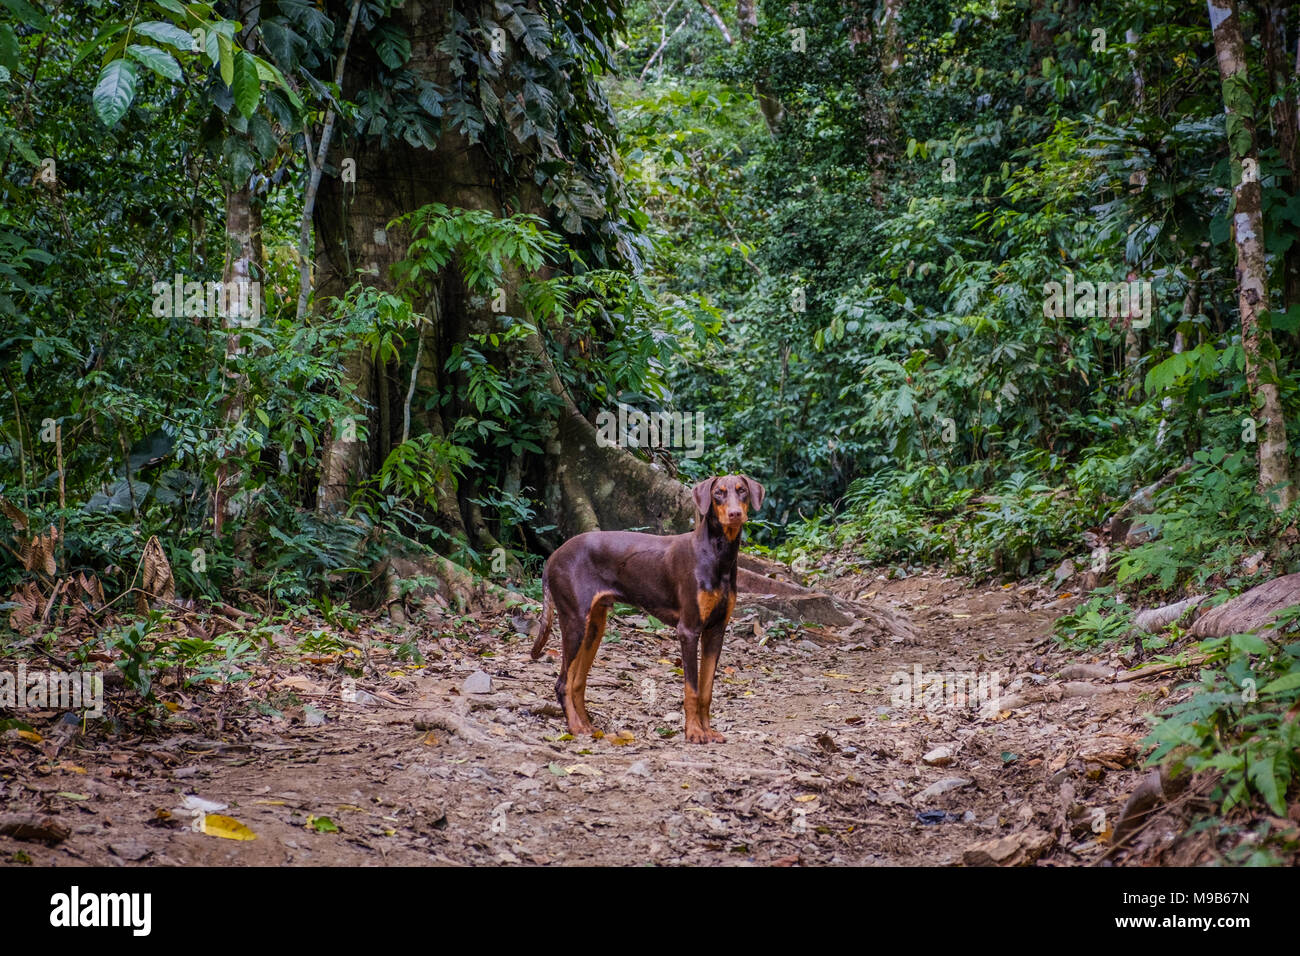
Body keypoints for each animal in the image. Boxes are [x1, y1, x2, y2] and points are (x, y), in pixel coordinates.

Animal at [533, 476, 759, 743]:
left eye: (742, 491)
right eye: (718, 493)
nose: (735, 514)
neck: (717, 555)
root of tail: (553, 557)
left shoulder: (716, 631)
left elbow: (706, 691)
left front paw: (708, 731)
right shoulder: (688, 630)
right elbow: (692, 689)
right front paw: (694, 732)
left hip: (594, 627)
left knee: (577, 681)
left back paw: (587, 725)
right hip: (575, 622)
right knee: (563, 683)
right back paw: (575, 727)